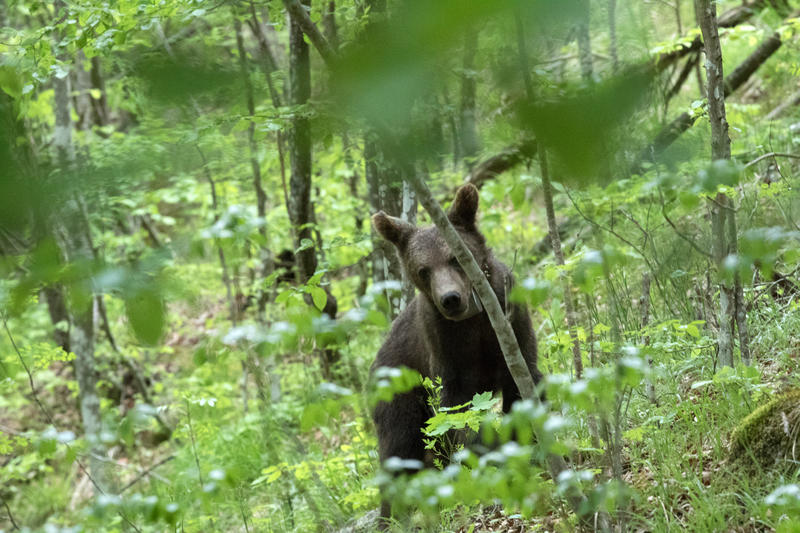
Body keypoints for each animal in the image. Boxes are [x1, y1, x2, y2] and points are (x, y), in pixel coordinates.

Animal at [372, 183, 540, 520]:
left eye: (455, 258)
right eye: (423, 270)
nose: (450, 298)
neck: (475, 321)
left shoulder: (510, 323)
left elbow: (522, 383)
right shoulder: (445, 347)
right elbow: (455, 412)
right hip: (398, 390)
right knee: (398, 449)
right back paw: (392, 514)